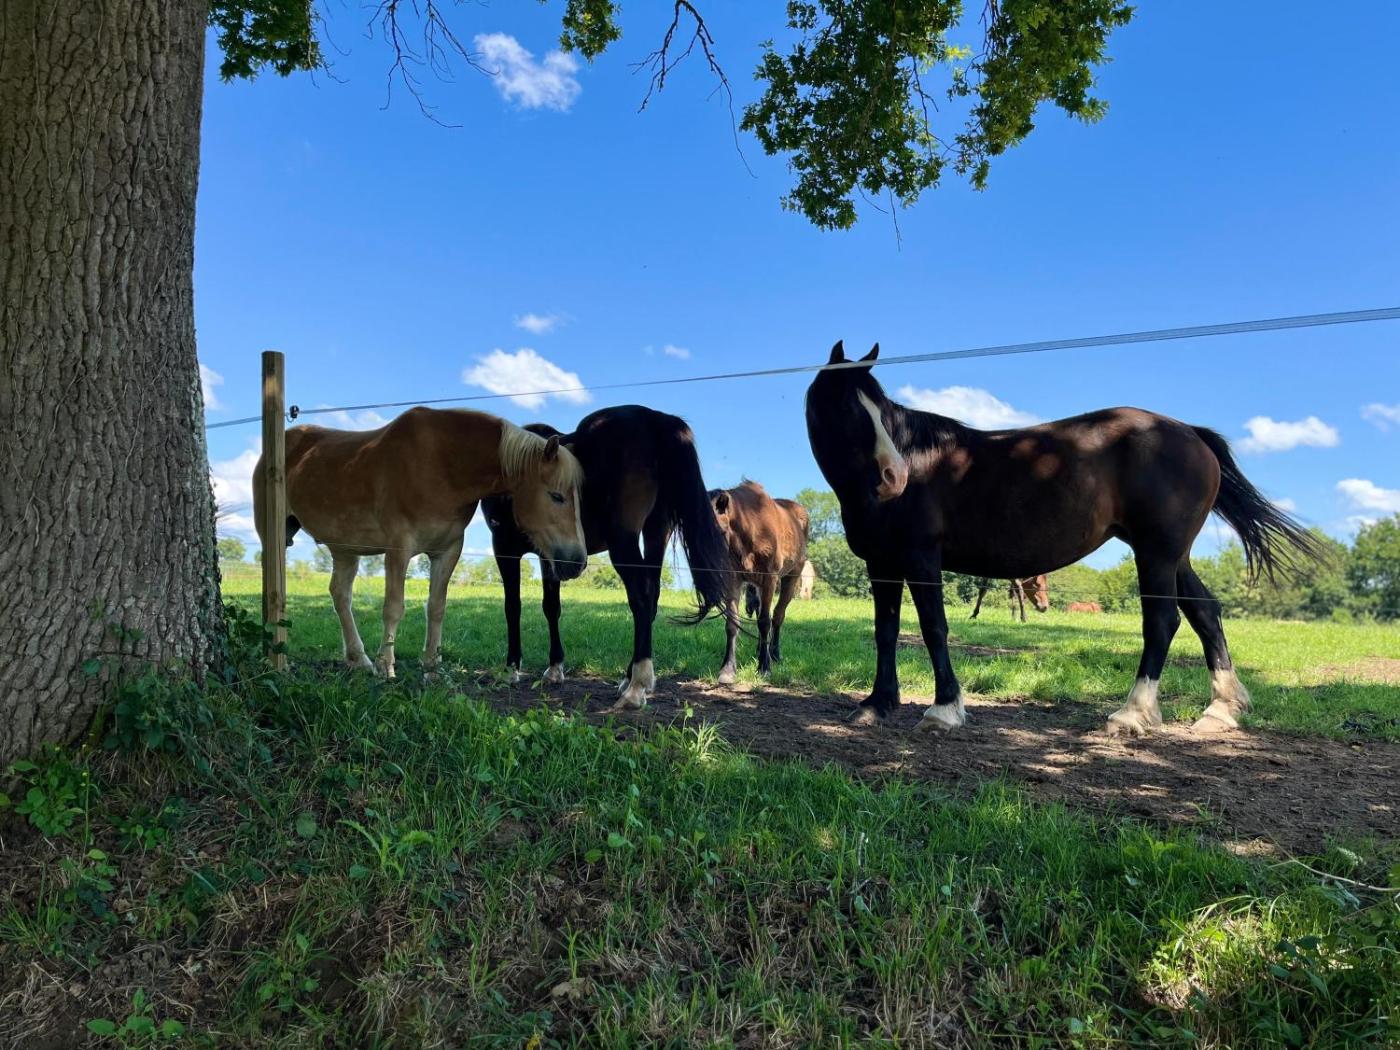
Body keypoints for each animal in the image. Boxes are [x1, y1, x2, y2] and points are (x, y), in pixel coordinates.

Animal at [253, 407, 587, 678]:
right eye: (556, 496)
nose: (577, 562)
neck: (442, 464)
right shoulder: (399, 549)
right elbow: (394, 607)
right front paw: (387, 666)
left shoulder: (447, 551)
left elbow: (436, 607)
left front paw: (431, 667)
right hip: (274, 536)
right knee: (275, 591)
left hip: (345, 549)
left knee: (340, 596)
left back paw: (358, 659)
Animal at [480, 405, 731, 709]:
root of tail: (655, 419)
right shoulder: (551, 554)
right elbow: (551, 607)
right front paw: (554, 669)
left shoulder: (503, 548)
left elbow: (512, 607)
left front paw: (510, 670)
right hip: (656, 531)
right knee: (652, 598)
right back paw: (628, 678)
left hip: (623, 540)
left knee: (641, 597)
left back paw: (637, 686)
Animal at [707, 481, 810, 682]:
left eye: (720, 530)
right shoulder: (733, 580)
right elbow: (732, 623)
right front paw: (728, 670)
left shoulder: (769, 579)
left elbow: (764, 621)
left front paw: (764, 667)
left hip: (791, 577)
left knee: (777, 616)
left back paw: (774, 654)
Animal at [805, 341, 1321, 737]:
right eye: (850, 407)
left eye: (881, 408)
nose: (895, 477)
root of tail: (1189, 433)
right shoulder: (881, 564)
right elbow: (886, 631)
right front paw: (876, 704)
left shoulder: (921, 560)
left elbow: (934, 629)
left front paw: (944, 710)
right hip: (1174, 557)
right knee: (1205, 614)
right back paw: (1221, 710)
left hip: (1155, 554)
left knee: (1163, 622)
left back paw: (1132, 714)